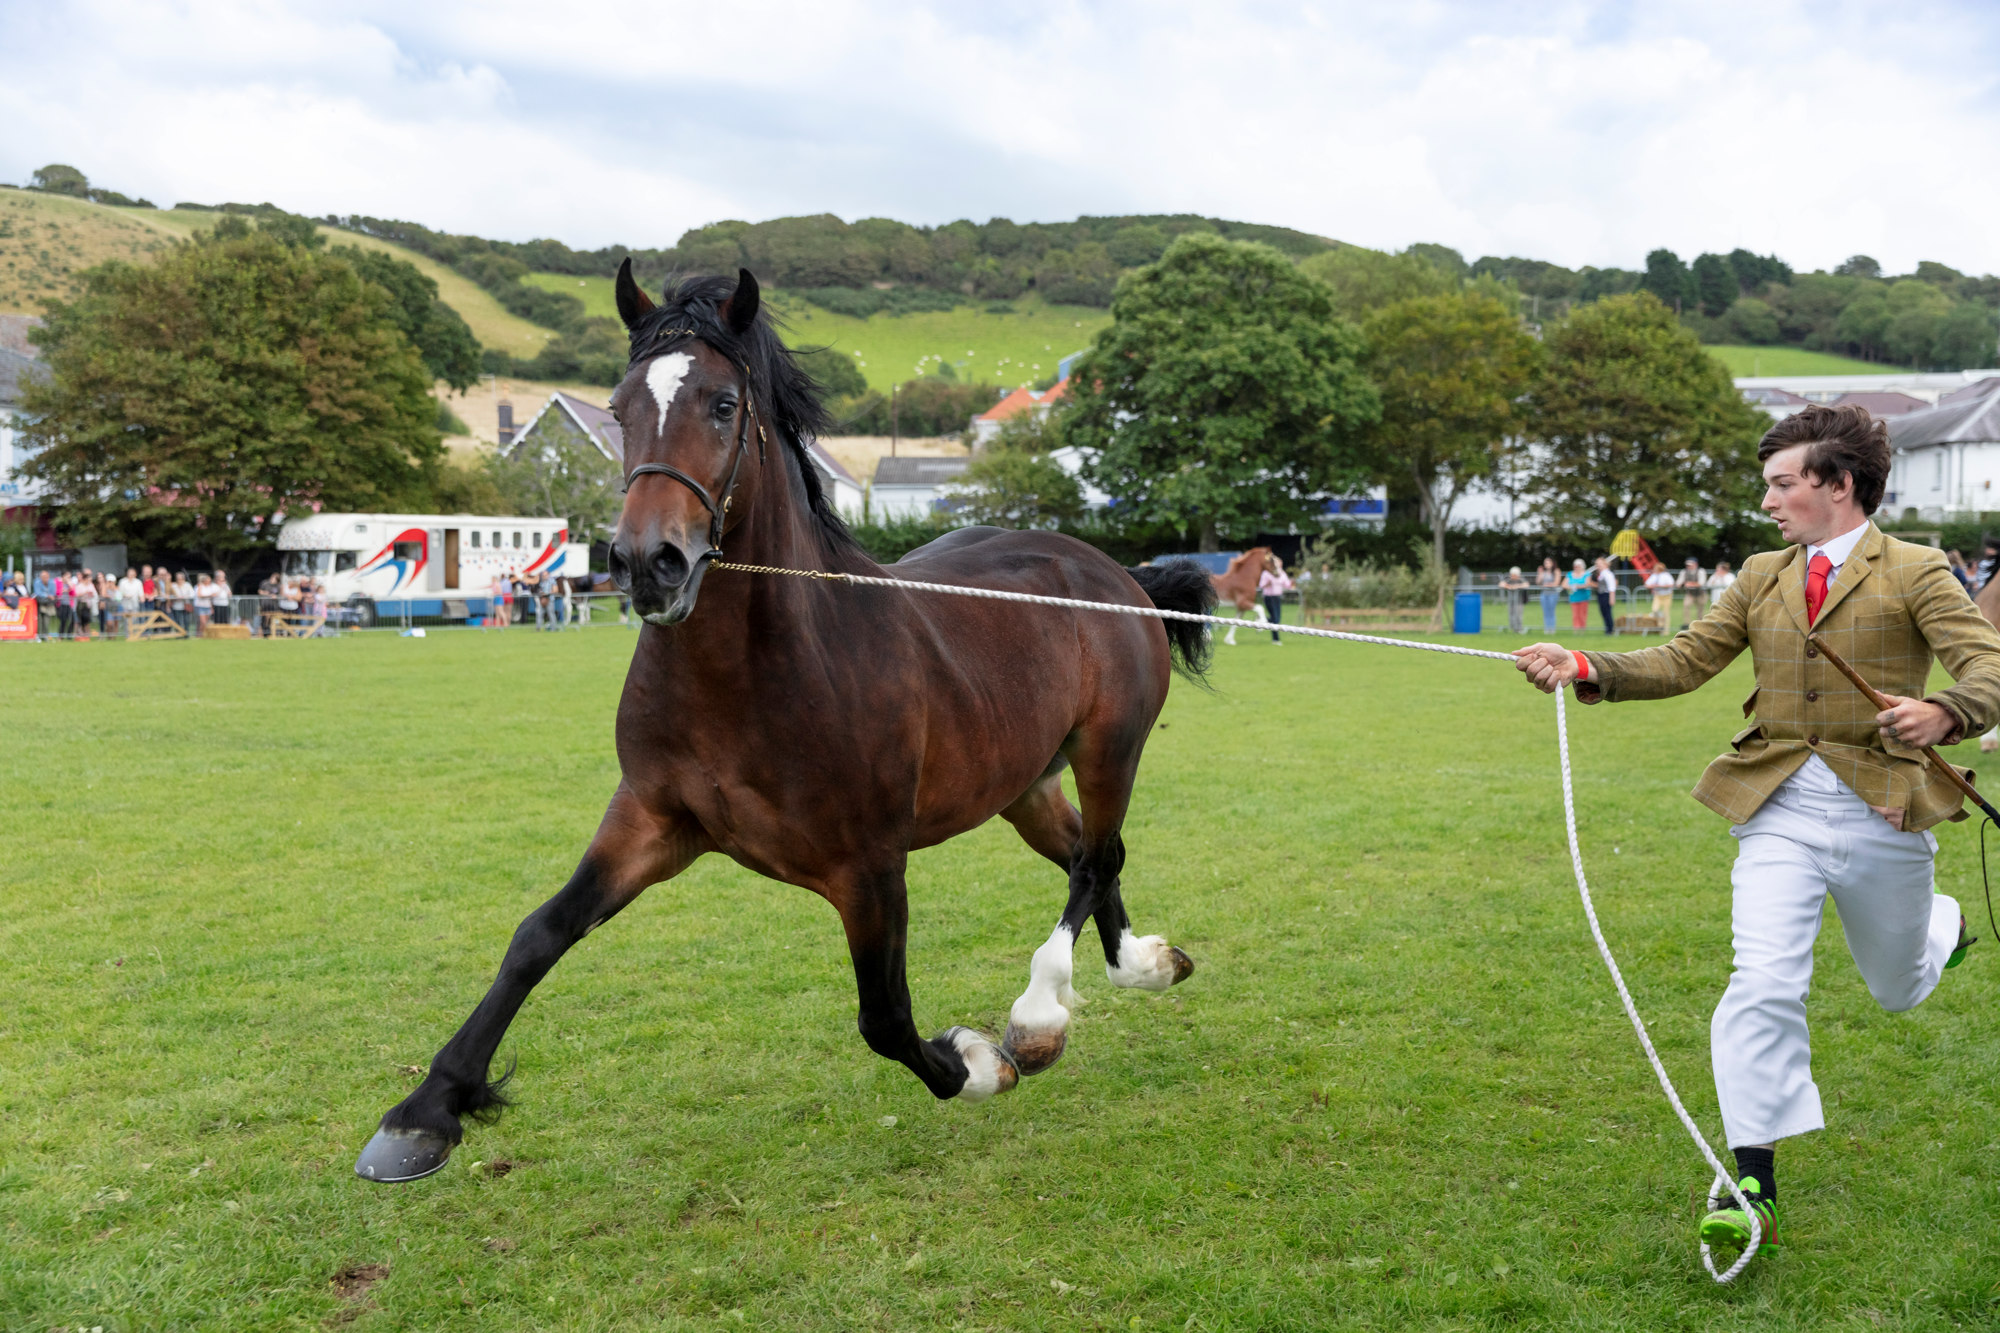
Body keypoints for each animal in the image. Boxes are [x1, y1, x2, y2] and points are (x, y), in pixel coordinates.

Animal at [356, 264, 1216, 1176]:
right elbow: (538, 934)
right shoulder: (650, 820)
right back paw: (1144, 965)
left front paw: (982, 1061)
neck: (755, 678)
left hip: (1109, 747)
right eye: (619, 407)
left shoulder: (869, 865)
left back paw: (1040, 1012)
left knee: (1095, 858)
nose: (647, 563)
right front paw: (423, 1112)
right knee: (1089, 853)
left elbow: (886, 1016)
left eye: (724, 403)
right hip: (1020, 783)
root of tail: (1112, 570)